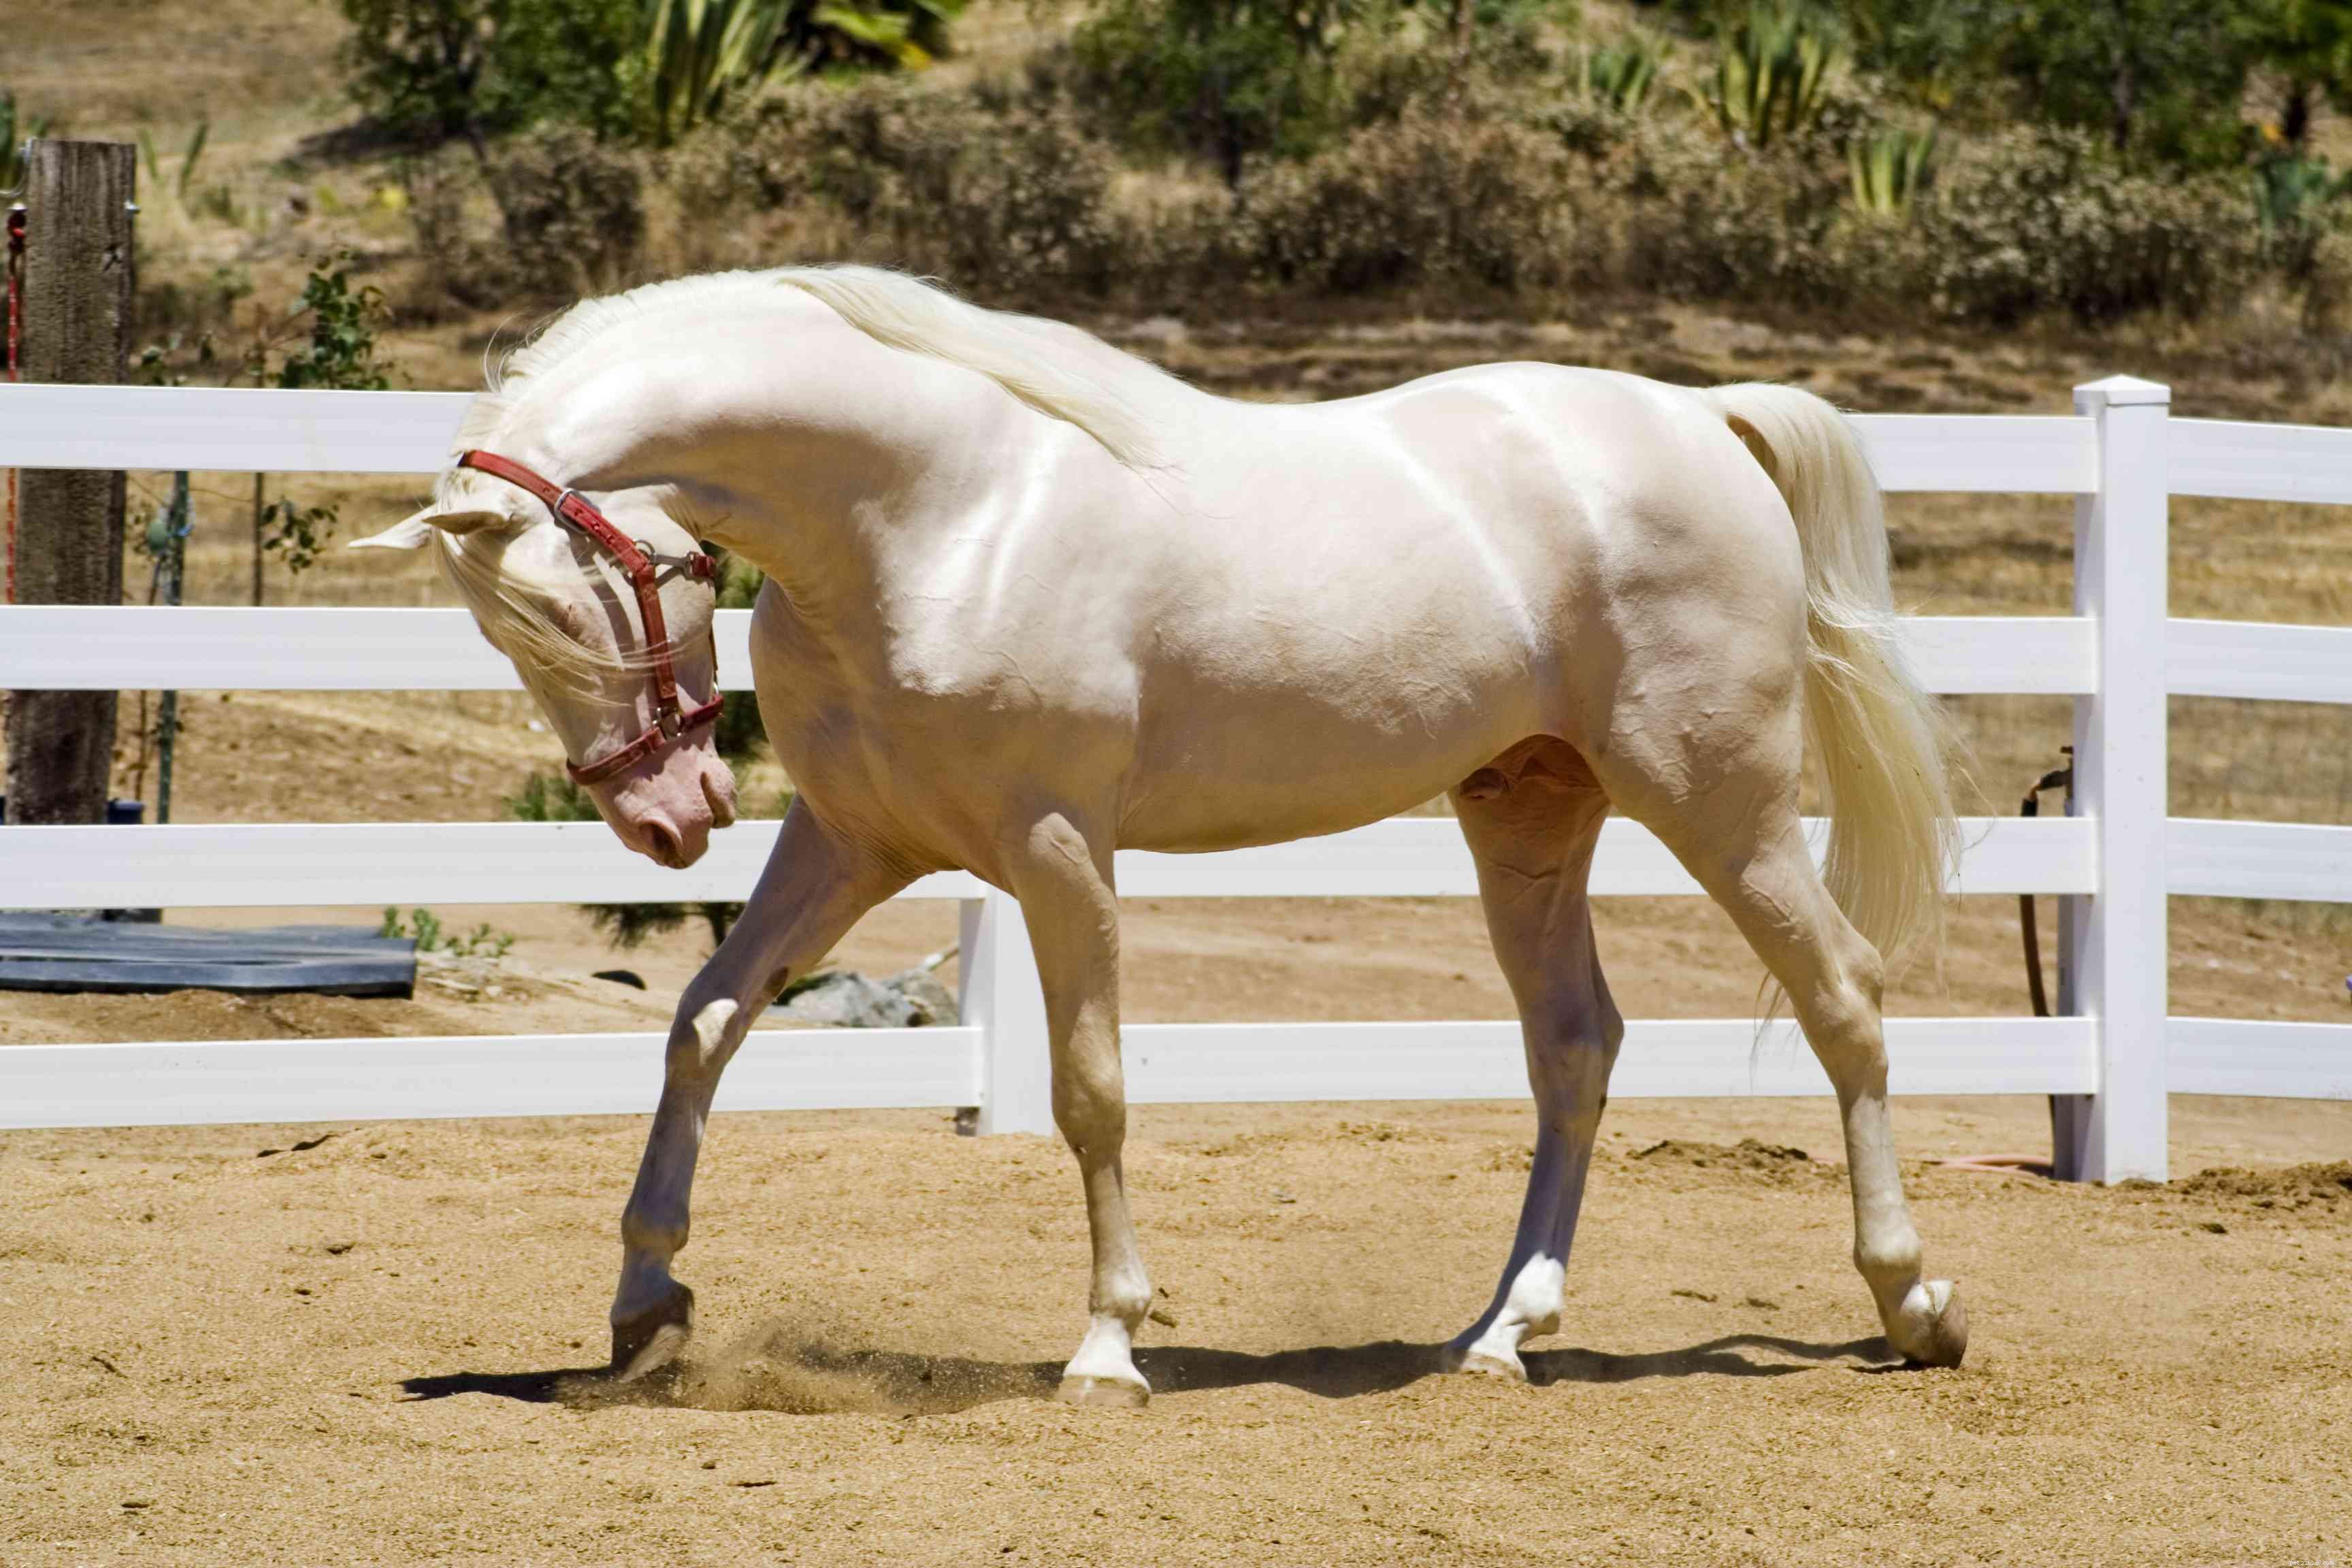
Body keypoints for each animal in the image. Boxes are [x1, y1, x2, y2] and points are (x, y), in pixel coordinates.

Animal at [354, 265, 1967, 1403]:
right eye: (510, 633)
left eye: (595, 596)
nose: (666, 817)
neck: (933, 511)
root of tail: (1702, 418)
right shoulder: (855, 841)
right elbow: (702, 1022)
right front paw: (646, 1309)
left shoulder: (1060, 846)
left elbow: (1091, 1090)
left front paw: (1105, 1350)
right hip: (1529, 810)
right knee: (1575, 1043)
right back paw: (1501, 1335)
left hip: (1717, 797)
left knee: (1842, 997)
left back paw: (1914, 1306)